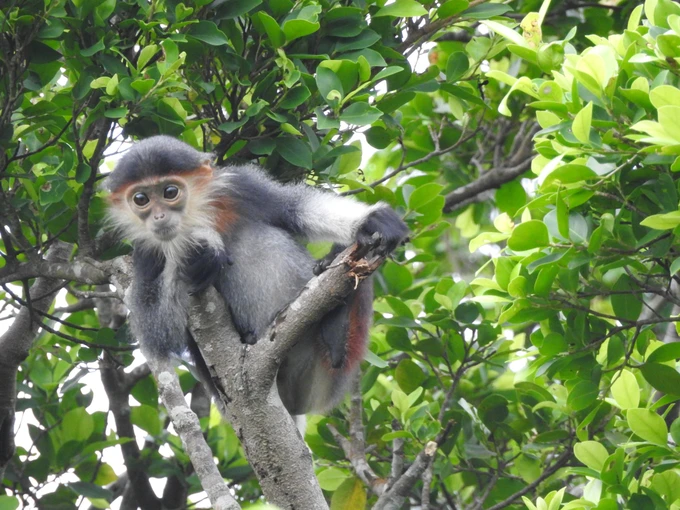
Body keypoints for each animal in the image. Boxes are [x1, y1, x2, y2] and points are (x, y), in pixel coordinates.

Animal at [103, 134, 406, 414]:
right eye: (140, 199)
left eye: (169, 192)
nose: (158, 217)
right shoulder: (144, 254)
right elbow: (159, 333)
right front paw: (204, 248)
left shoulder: (240, 186)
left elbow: (294, 208)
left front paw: (371, 221)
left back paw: (336, 325)